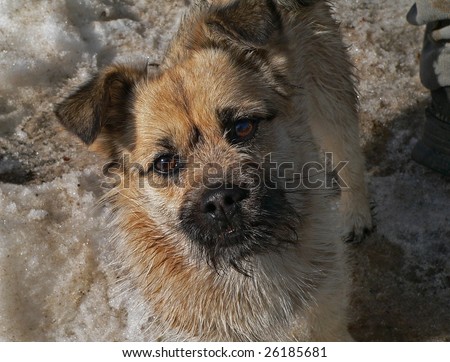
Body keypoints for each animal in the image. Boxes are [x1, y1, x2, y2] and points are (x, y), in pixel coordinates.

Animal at [54, 0, 370, 340]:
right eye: (164, 163)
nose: (221, 200)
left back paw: (356, 216)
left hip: (330, 104)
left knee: (350, 161)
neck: (248, 265)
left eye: (243, 127)